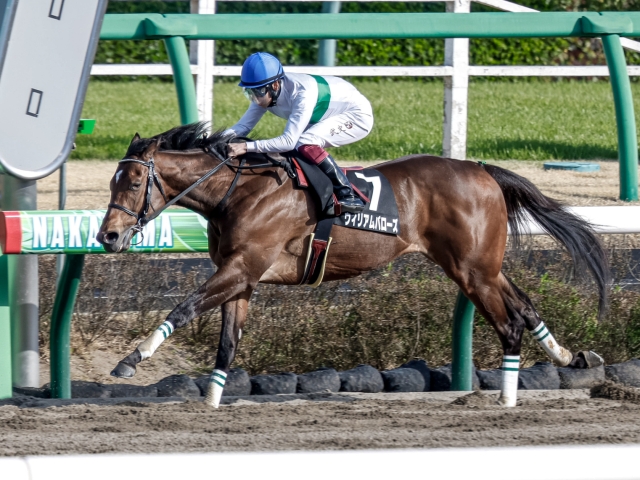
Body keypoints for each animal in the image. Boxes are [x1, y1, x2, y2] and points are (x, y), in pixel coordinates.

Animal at [97, 124, 608, 408]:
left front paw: (129, 361)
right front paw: (212, 401)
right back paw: (571, 357)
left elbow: (182, 308)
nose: (108, 236)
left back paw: (505, 398)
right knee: (525, 306)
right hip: (480, 266)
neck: (239, 190)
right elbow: (227, 342)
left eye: (136, 181)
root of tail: (482, 169)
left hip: (472, 270)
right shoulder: (241, 278)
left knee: (509, 324)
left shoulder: (242, 268)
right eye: (112, 180)